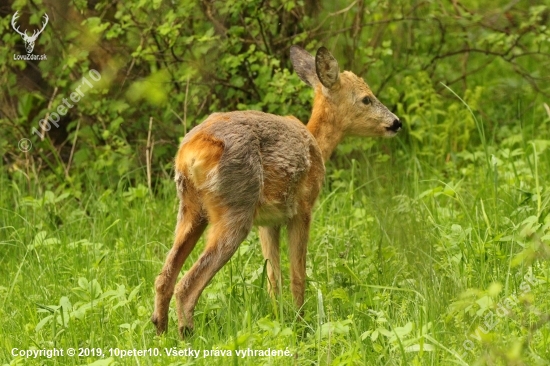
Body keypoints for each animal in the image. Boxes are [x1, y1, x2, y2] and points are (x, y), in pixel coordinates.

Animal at [153, 44, 404, 336]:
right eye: (366, 99)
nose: (396, 122)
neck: (317, 144)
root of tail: (191, 151)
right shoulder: (302, 210)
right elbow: (298, 274)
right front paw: (301, 323)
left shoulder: (268, 222)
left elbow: (274, 277)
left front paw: (279, 318)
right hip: (236, 208)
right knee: (186, 286)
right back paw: (187, 336)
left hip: (191, 210)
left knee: (164, 278)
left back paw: (160, 333)